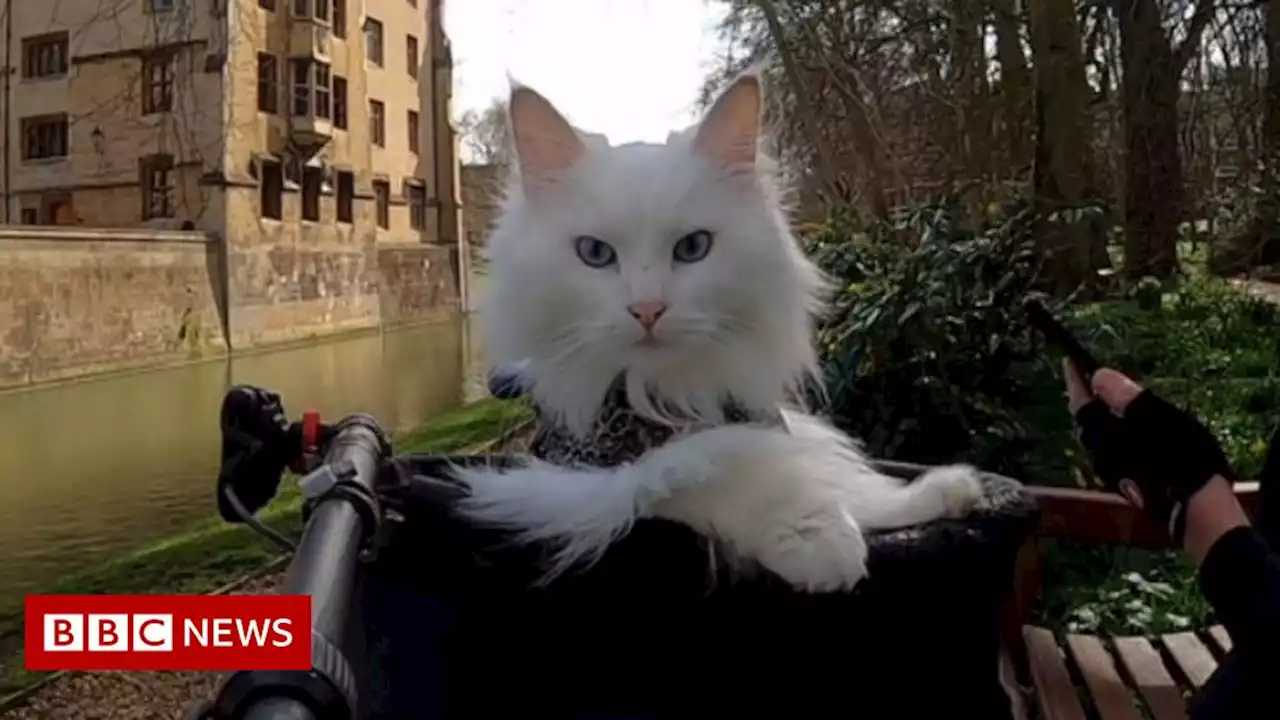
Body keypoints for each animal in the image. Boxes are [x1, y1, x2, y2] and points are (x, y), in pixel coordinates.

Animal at [455, 71, 983, 589]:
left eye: (693, 247)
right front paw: (819, 538)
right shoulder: (585, 484)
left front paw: (942, 492)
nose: (648, 309)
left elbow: (845, 480)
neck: (669, 396)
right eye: (595, 253)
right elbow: (711, 470)